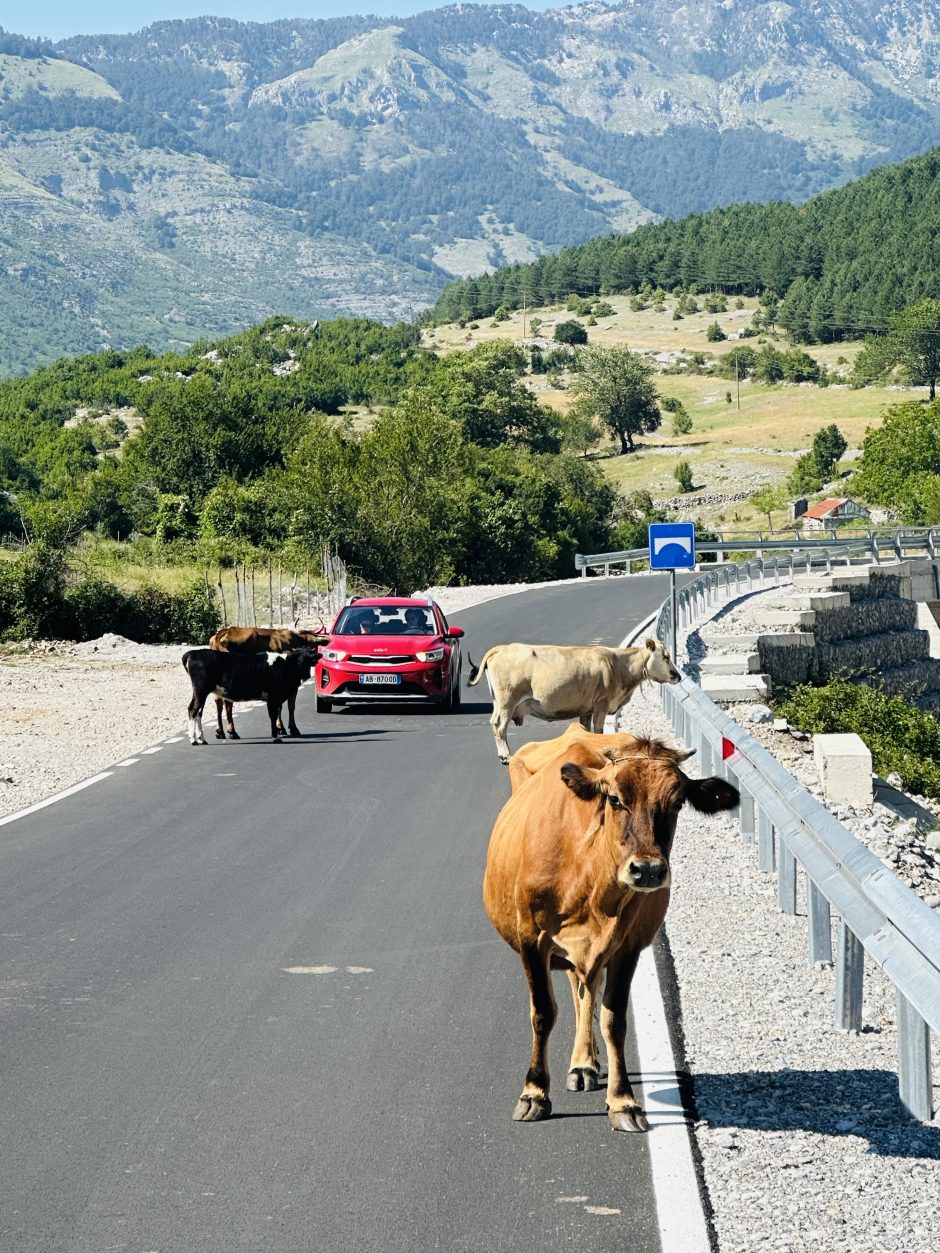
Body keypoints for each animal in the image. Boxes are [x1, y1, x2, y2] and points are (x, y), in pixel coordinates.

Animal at [181, 646, 318, 741]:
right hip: (200, 691)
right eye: (305, 659)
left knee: (197, 712)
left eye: (309, 657)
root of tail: (193, 653)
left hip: (200, 693)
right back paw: (194, 740)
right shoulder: (273, 697)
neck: (286, 665)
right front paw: (276, 737)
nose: (307, 674)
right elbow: (273, 716)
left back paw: (202, 739)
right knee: (193, 710)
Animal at [468, 636, 681, 761]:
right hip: (507, 701)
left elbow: (585, 730)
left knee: (494, 723)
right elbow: (598, 730)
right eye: (666, 656)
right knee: (499, 726)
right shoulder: (601, 704)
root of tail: (501, 648)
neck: (617, 666)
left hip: (498, 701)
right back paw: (506, 755)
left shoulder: (586, 709)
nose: (677, 676)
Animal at [481, 731, 741, 1132]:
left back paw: (584, 1062)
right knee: (576, 991)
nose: (647, 870)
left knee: (585, 991)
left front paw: (622, 1101)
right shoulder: (531, 939)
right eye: (615, 798)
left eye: (678, 801)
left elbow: (613, 1018)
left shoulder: (628, 945)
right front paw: (534, 1093)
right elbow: (542, 1012)